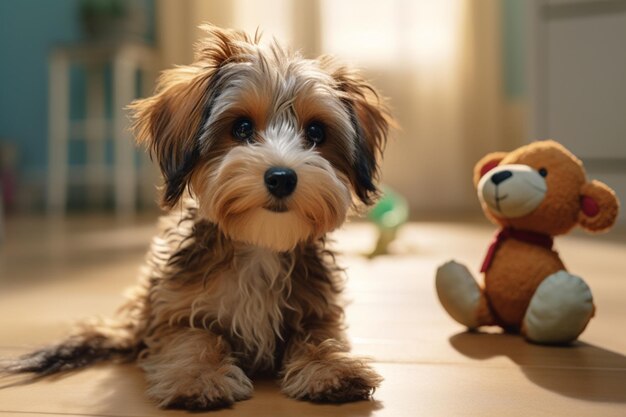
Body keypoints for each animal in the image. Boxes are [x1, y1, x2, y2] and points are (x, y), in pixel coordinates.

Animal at [3, 24, 390, 408]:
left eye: (315, 132)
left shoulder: (318, 309)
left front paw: (331, 367)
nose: (281, 177)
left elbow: (319, 337)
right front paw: (199, 376)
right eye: (241, 128)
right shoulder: (172, 310)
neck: (258, 246)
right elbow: (195, 337)